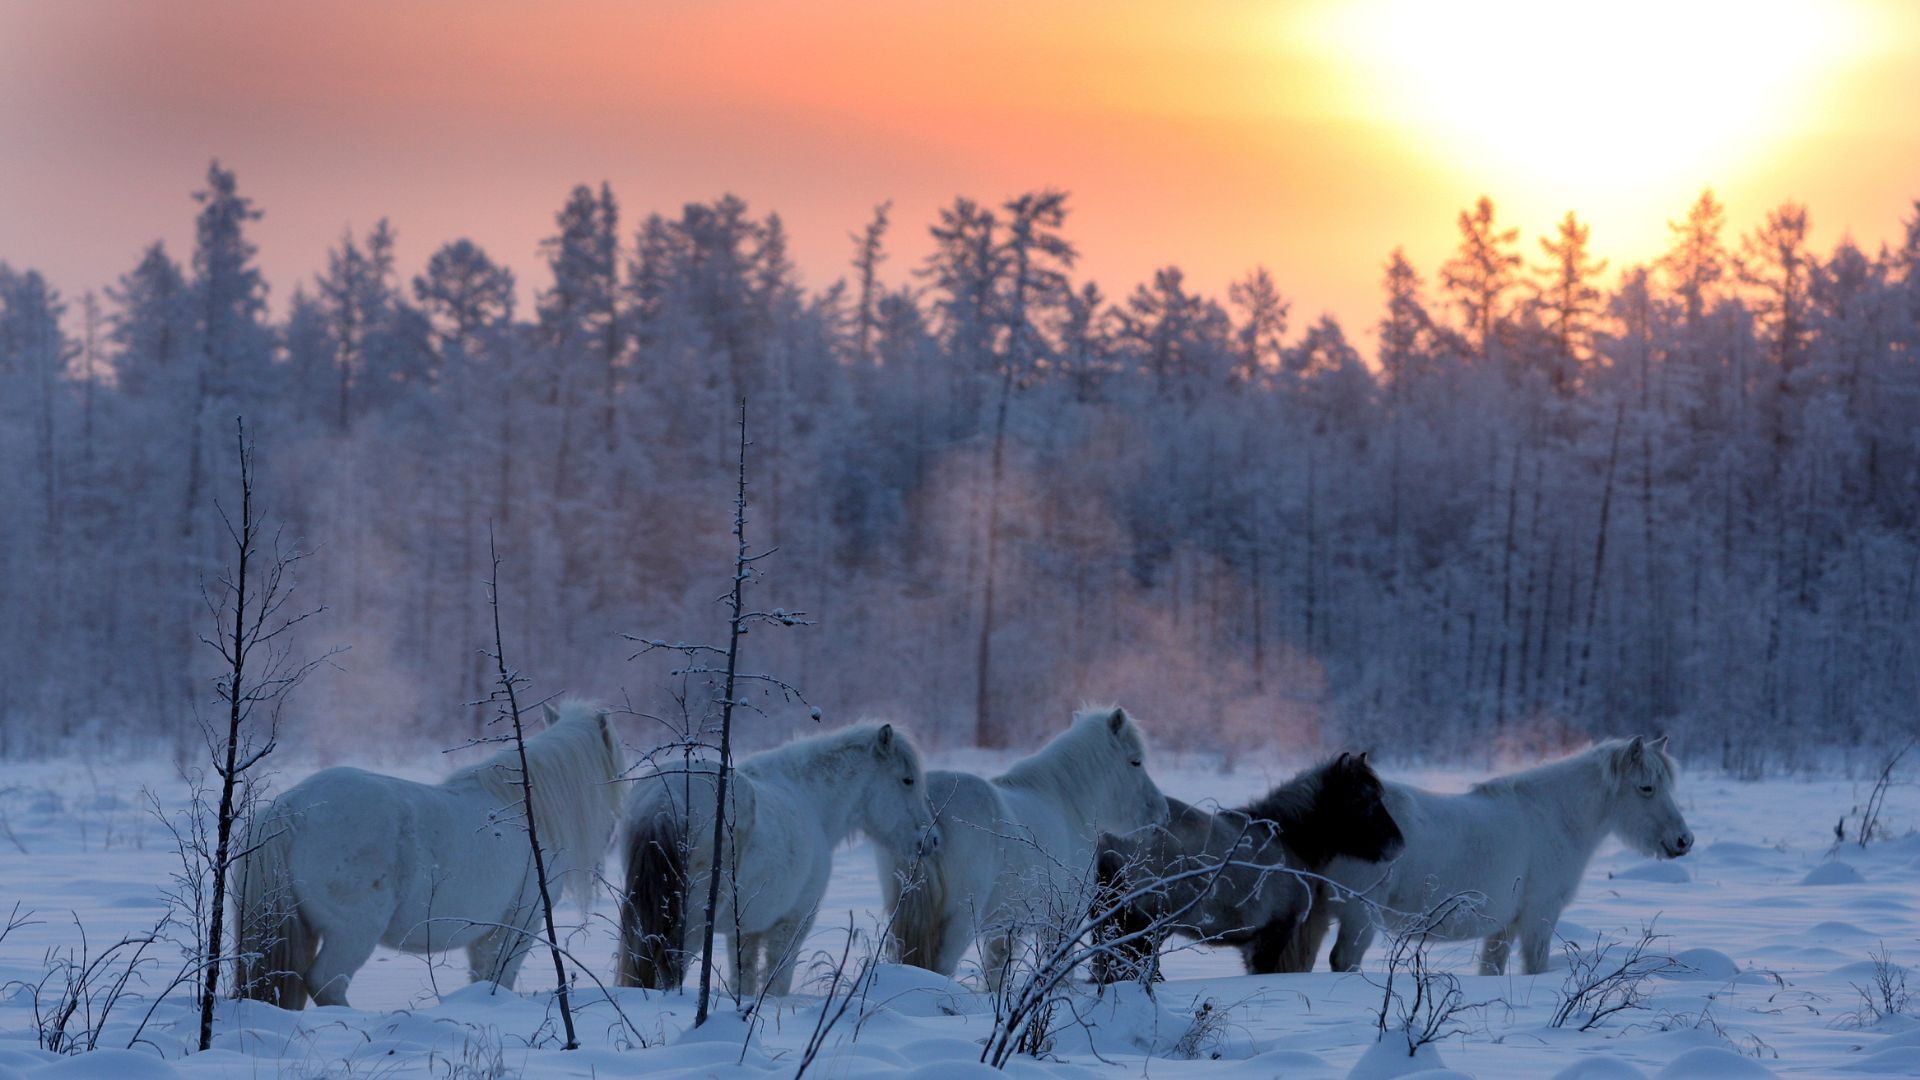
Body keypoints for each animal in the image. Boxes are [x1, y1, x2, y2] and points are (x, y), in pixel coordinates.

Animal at [231, 703, 622, 1006]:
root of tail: (291, 808)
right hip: (353, 932)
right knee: (327, 982)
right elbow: (498, 978)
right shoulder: (517, 926)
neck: (523, 808)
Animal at [618, 718, 940, 999]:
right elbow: (776, 982)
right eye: (908, 780)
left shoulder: (747, 930)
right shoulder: (792, 923)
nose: (932, 839)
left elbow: (744, 980)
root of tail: (664, 797)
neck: (809, 798)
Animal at [879, 703, 1159, 991]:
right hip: (959, 921)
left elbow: (995, 972)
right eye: (1135, 761)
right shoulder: (1062, 920)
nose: (1161, 811)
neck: (1065, 802)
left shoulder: (1003, 928)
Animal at [1297, 730, 1689, 976]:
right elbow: (1535, 966)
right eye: (1646, 788)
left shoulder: (1503, 928)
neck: (1551, 817)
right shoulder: (1538, 918)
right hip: (1358, 916)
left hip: (1318, 915)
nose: (1684, 840)